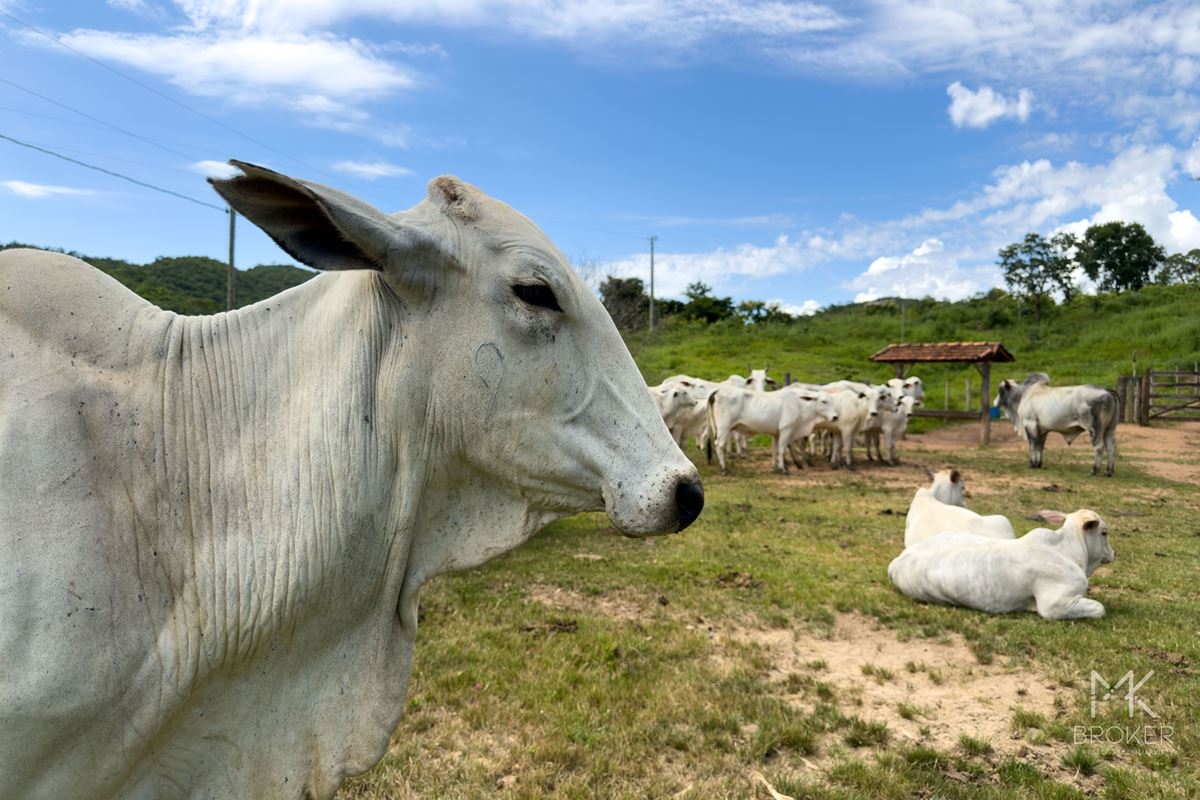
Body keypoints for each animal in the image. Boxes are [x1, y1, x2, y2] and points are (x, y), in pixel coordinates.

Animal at [892, 510, 1113, 623]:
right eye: (1104, 532)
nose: (1114, 553)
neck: (1067, 550)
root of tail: (898, 560)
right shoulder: (1054, 605)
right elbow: (1099, 608)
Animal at [988, 374, 1118, 479]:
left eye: (1000, 390)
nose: (994, 402)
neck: (1024, 395)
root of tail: (1106, 390)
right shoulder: (1042, 430)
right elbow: (1040, 446)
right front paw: (1038, 464)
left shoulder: (1030, 424)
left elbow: (1032, 445)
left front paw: (1032, 464)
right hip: (1110, 429)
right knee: (1111, 447)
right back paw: (1109, 472)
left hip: (1095, 429)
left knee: (1099, 447)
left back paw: (1094, 471)